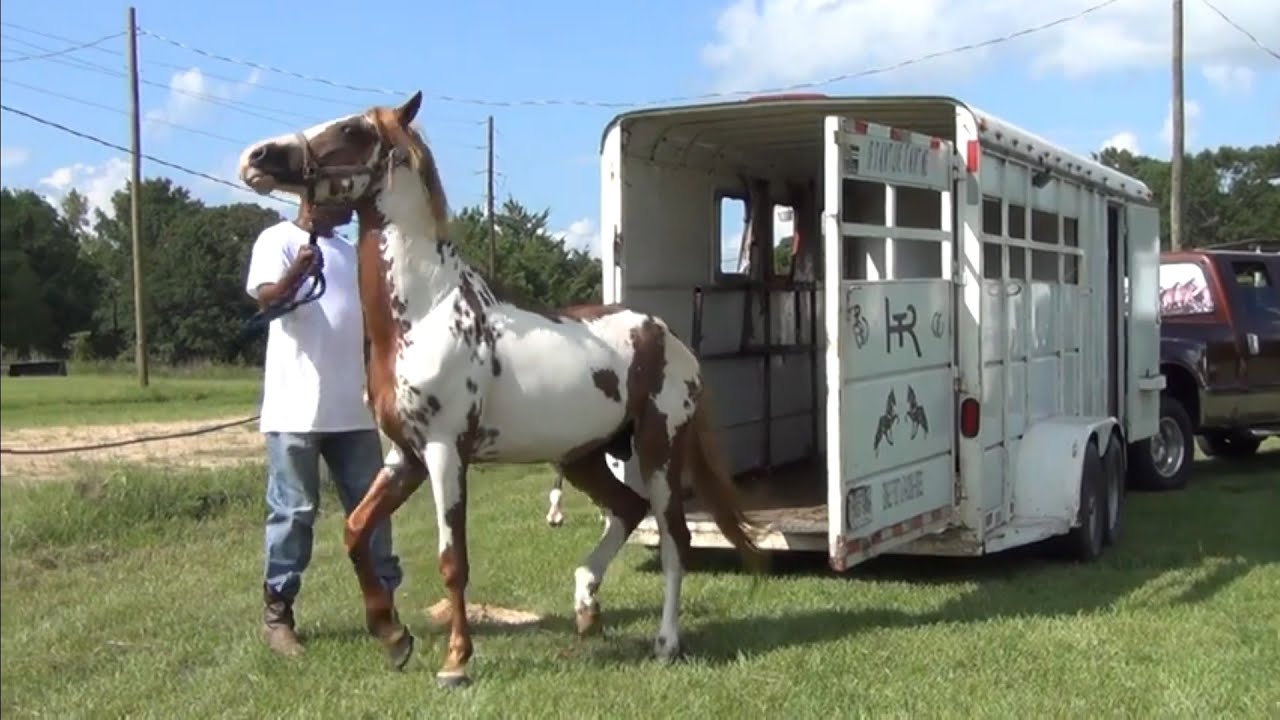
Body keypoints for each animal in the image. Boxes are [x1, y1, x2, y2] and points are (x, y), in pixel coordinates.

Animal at [236, 90, 764, 688]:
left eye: (352, 130)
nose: (255, 158)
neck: (427, 316)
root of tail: (669, 337)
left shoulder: (444, 453)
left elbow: (452, 560)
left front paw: (455, 662)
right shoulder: (405, 457)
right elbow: (355, 530)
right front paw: (393, 638)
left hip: (659, 451)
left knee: (676, 538)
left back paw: (666, 642)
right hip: (583, 457)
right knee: (628, 510)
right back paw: (586, 606)